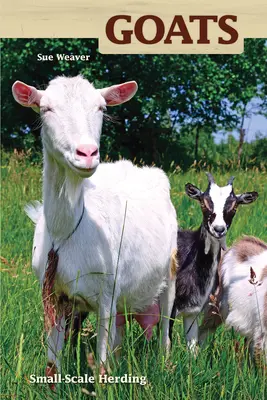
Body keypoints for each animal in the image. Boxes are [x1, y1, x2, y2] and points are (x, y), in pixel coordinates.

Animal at [13, 76, 180, 378]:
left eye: (101, 108)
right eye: (45, 108)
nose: (87, 153)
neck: (66, 232)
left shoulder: (106, 294)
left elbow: (101, 366)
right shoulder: (52, 293)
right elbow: (53, 364)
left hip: (170, 270)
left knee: (163, 326)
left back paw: (165, 362)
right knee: (120, 333)